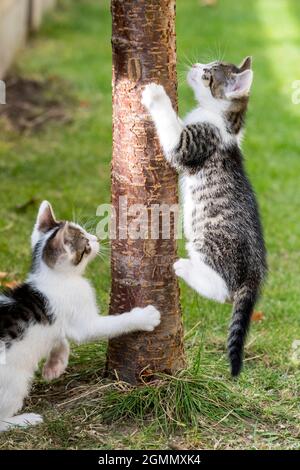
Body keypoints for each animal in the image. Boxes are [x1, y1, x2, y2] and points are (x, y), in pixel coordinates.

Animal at [0, 200, 161, 432]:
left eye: (86, 234)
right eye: (85, 244)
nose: (95, 239)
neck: (54, 277)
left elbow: (61, 338)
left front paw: (55, 365)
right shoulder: (83, 317)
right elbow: (104, 326)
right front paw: (145, 317)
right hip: (14, 381)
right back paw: (22, 420)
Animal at [142, 58, 268, 376]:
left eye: (208, 74)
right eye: (208, 65)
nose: (197, 64)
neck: (223, 122)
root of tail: (256, 272)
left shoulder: (189, 144)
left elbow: (173, 129)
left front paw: (156, 94)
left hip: (209, 242)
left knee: (223, 291)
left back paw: (184, 267)